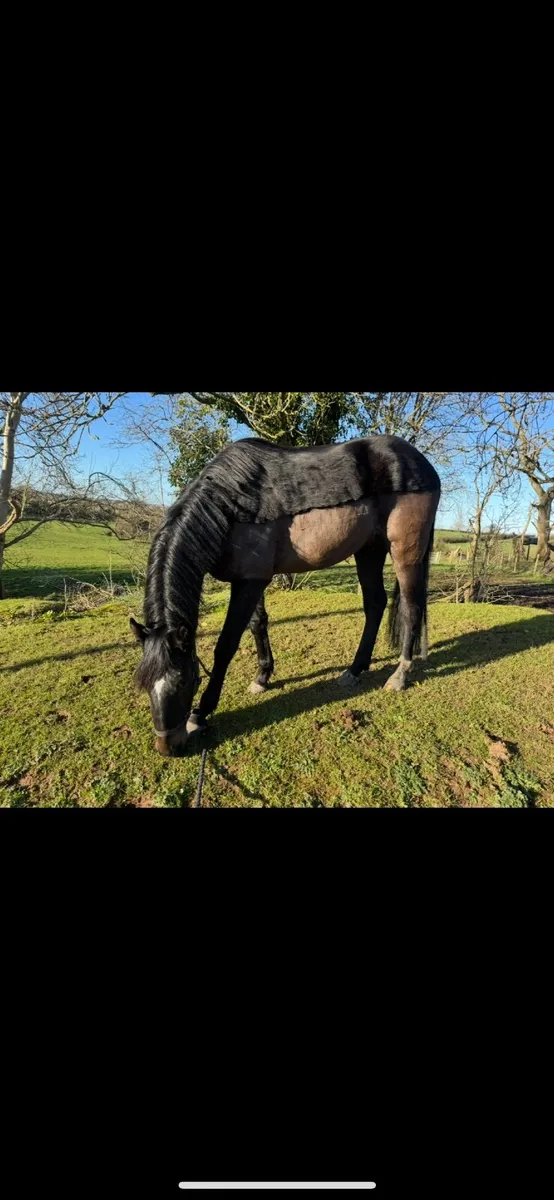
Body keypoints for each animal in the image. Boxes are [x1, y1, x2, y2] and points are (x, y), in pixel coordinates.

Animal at [131, 435, 441, 756]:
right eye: (144, 683)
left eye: (183, 681)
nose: (168, 746)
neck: (226, 505)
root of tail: (421, 464)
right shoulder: (250, 579)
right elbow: (258, 624)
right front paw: (262, 677)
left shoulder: (249, 583)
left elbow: (226, 644)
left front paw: (201, 713)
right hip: (370, 550)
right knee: (375, 604)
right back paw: (355, 670)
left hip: (405, 553)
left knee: (412, 607)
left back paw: (400, 674)